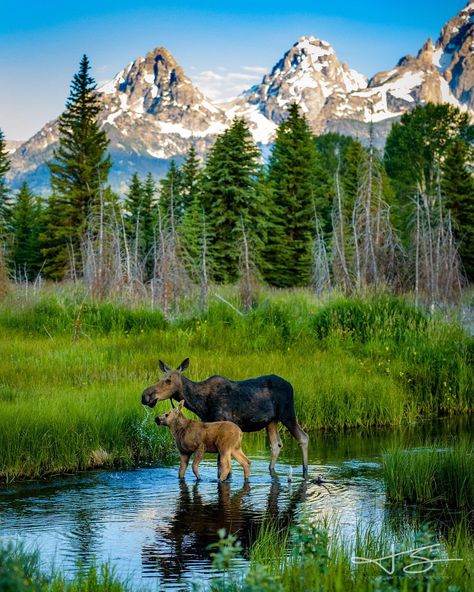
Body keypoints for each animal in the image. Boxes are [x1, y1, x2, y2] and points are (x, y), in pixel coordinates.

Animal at [141, 356, 310, 476]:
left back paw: (305, 470)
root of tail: (290, 385)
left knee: (303, 437)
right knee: (276, 444)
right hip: (271, 421)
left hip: (288, 413)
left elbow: (221, 465)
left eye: (168, 380)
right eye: (158, 378)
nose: (145, 396)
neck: (199, 403)